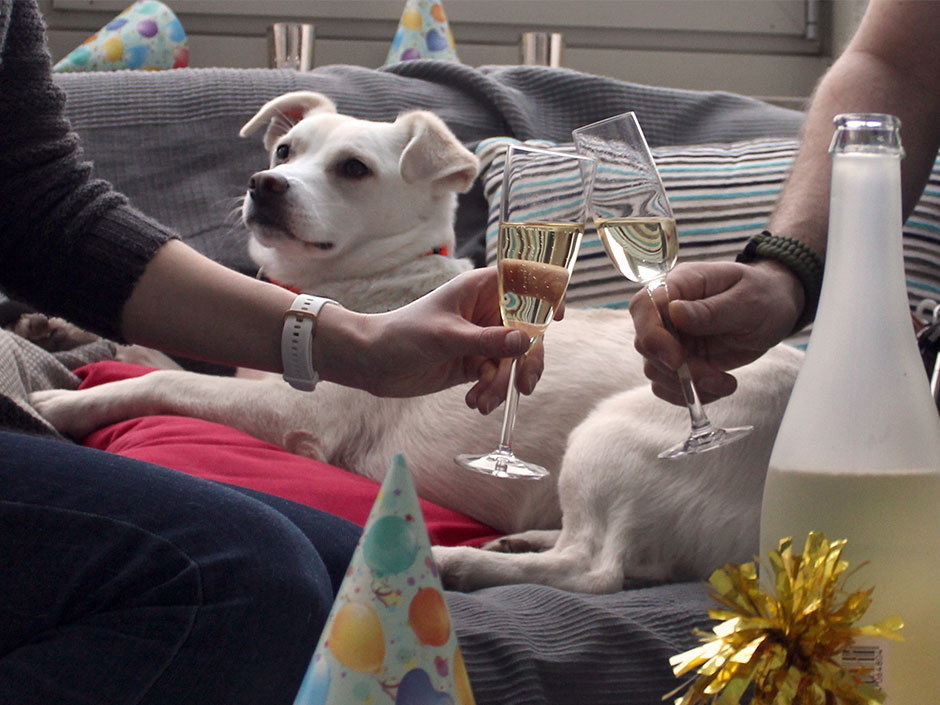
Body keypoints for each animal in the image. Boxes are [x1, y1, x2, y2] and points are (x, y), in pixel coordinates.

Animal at [33, 91, 804, 592]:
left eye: (352, 169)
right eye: (284, 149)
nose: (264, 181)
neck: (359, 286)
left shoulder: (300, 413)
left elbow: (167, 379)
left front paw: (62, 404)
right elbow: (162, 356)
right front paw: (66, 329)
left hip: (612, 436)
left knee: (595, 570)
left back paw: (461, 563)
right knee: (602, 551)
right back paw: (520, 538)